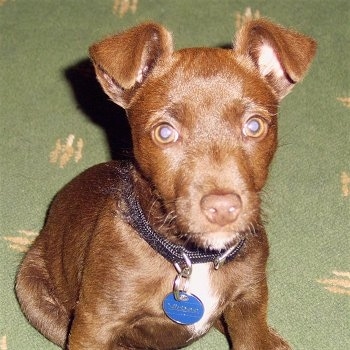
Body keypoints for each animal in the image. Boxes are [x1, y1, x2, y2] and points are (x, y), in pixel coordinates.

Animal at [15, 19, 318, 350]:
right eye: (164, 132)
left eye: (254, 126)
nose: (223, 209)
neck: (192, 259)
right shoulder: (95, 324)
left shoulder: (249, 303)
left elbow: (250, 333)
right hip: (32, 295)